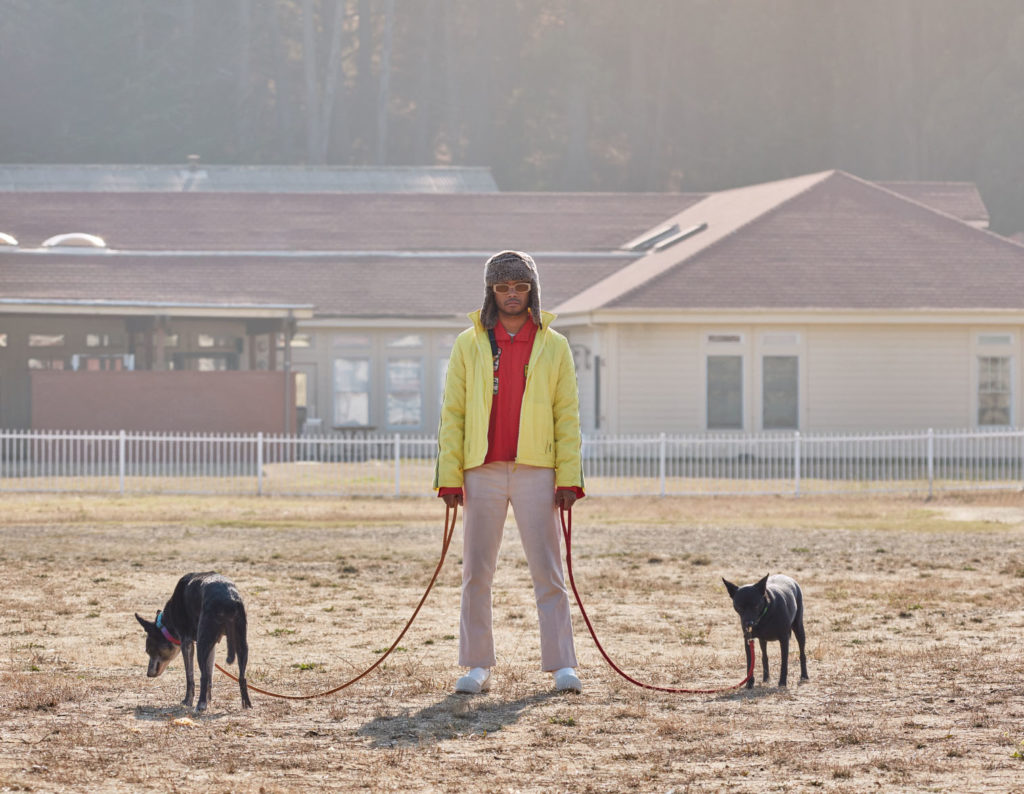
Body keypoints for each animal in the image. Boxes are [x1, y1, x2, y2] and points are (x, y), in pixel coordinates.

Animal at [134, 573, 251, 713]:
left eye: (149, 651)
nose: (148, 674)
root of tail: (228, 599)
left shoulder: (187, 643)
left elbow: (190, 676)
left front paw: (188, 701)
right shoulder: (211, 647)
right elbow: (210, 674)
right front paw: (208, 700)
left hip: (201, 645)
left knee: (203, 676)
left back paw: (200, 704)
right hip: (241, 644)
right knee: (242, 677)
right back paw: (246, 704)